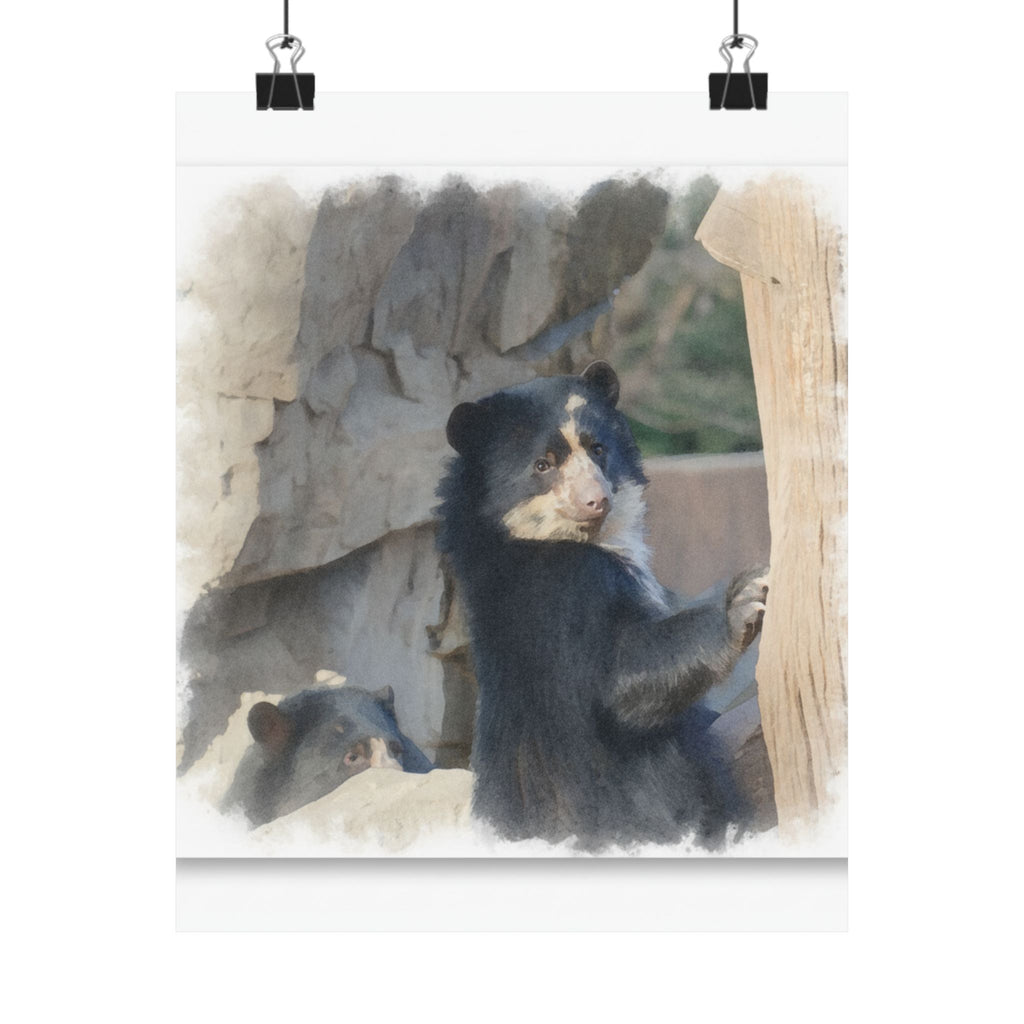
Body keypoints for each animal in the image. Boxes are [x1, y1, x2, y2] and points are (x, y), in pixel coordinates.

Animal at [435, 361, 768, 850]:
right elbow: (621, 678)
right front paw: (746, 598)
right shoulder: (565, 593)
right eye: (543, 464)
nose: (596, 500)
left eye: (598, 449)